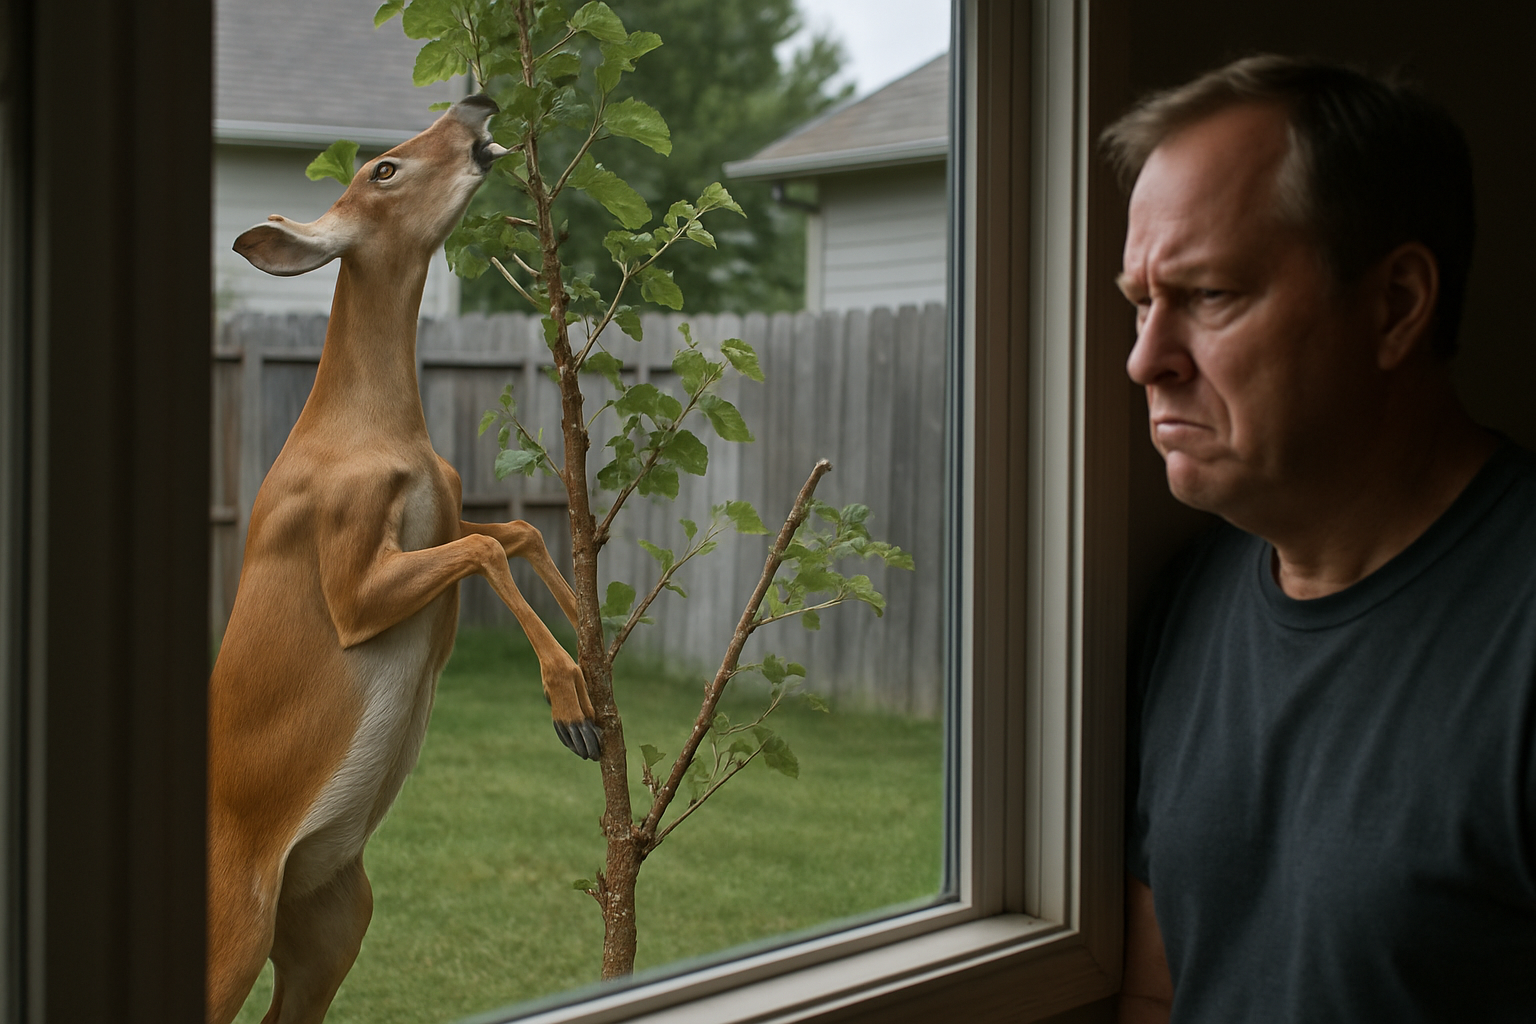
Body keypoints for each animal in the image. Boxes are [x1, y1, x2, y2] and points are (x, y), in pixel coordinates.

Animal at [206, 94, 601, 1024]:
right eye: (382, 168)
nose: (476, 102)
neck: (375, 430)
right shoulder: (350, 580)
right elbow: (482, 548)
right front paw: (570, 706)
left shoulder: (446, 509)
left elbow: (512, 532)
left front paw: (596, 636)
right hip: (230, 929)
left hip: (334, 912)